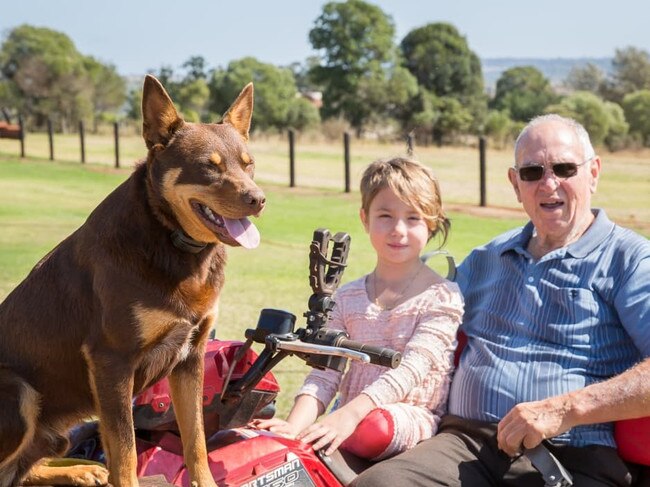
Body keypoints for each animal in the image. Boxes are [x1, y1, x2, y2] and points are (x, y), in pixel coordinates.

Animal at [0, 75, 264, 487]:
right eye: (208, 167)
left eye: (248, 165)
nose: (259, 199)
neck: (171, 239)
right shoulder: (112, 361)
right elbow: (125, 452)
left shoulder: (190, 358)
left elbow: (195, 441)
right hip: (18, 392)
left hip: (54, 434)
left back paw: (81, 470)